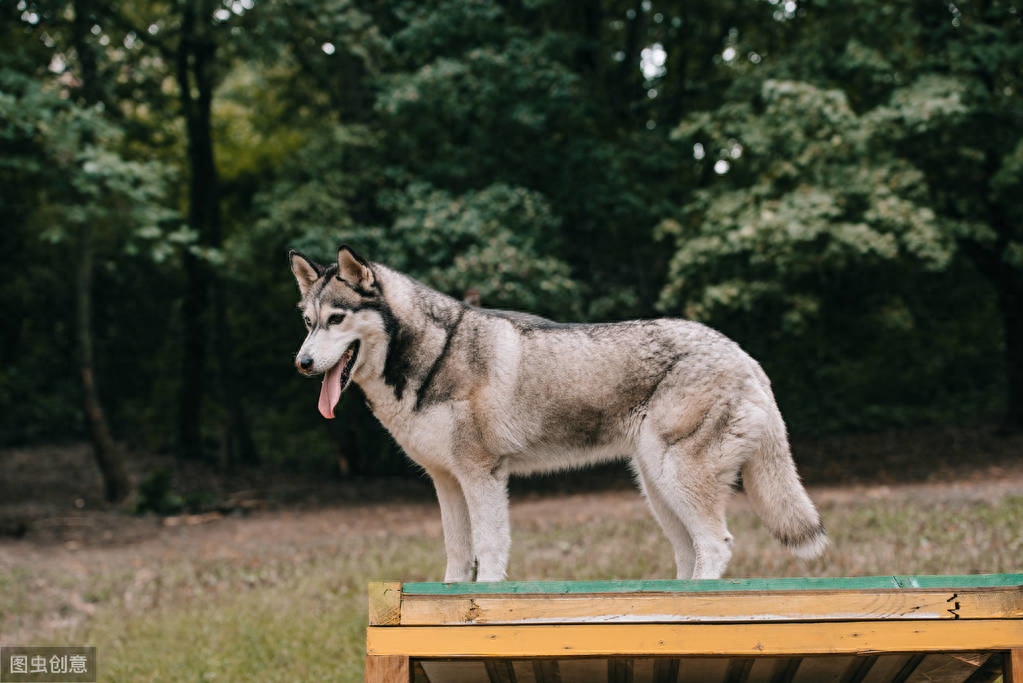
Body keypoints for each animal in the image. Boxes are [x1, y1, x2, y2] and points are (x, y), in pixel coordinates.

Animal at [286, 245, 822, 580]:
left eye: (337, 319)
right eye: (308, 323)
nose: (302, 364)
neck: (433, 355)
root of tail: (744, 355)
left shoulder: (483, 477)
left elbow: (489, 553)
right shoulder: (447, 482)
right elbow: (457, 557)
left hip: (676, 481)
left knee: (716, 544)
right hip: (657, 490)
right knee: (690, 552)